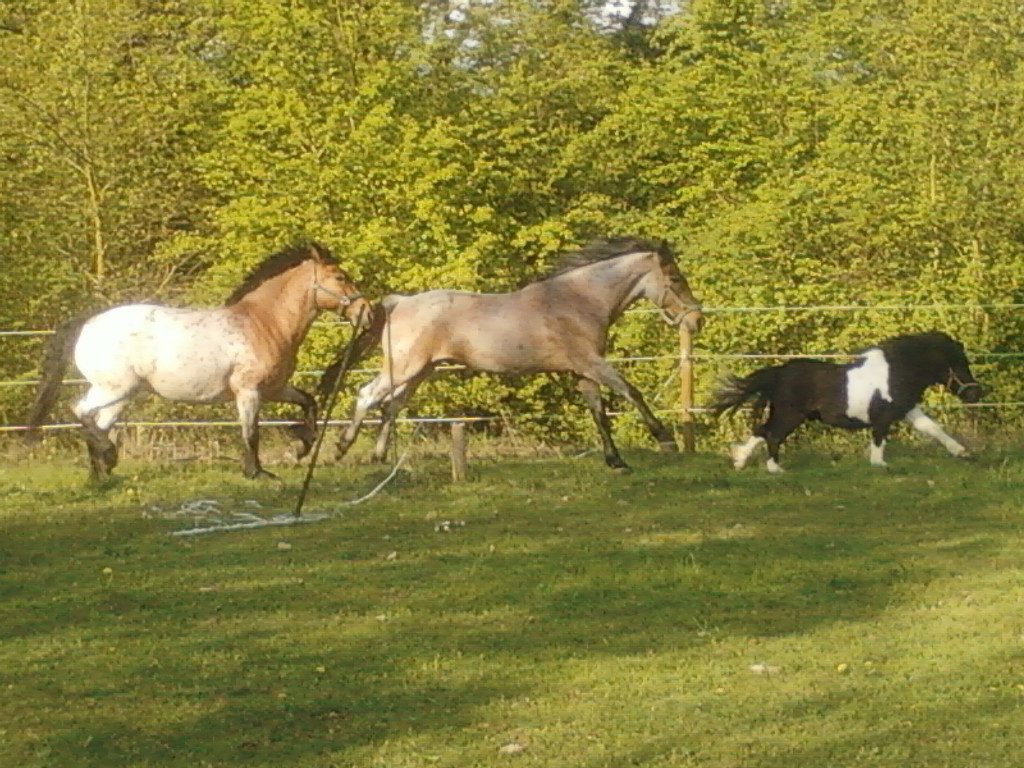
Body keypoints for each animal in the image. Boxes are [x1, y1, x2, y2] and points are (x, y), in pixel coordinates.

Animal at [25, 243, 372, 479]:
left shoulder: (274, 388)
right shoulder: (248, 391)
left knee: (96, 423)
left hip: (119, 395)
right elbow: (251, 432)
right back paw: (108, 459)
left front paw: (303, 446)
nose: (366, 312)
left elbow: (309, 402)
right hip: (113, 388)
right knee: (79, 411)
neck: (264, 323)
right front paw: (257, 473)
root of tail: (87, 323)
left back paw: (101, 475)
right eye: (339, 276)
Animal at [319, 237, 705, 469]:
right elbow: (631, 392)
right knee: (367, 395)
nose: (697, 319)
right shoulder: (592, 363)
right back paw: (342, 447)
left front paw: (616, 462)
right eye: (676, 279)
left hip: (421, 371)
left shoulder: (582, 371)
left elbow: (597, 412)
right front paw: (666, 440)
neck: (578, 301)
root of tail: (399, 302)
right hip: (403, 367)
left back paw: (378, 456)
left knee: (392, 406)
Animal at [711, 331, 983, 473]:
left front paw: (962, 452)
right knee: (772, 434)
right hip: (791, 415)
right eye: (957, 364)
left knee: (761, 431)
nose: (975, 394)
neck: (897, 371)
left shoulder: (906, 409)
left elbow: (931, 428)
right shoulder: (884, 416)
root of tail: (780, 373)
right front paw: (879, 465)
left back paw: (739, 461)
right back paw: (774, 469)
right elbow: (879, 440)